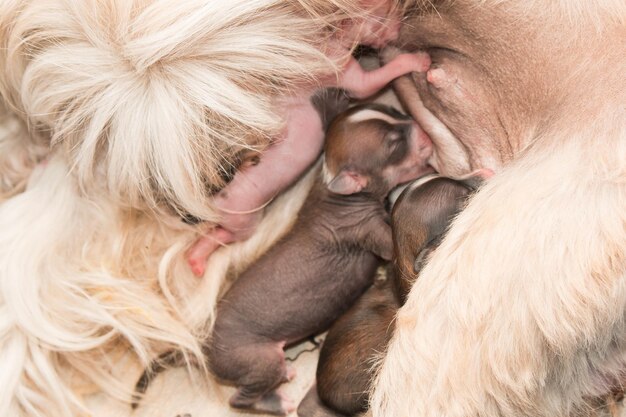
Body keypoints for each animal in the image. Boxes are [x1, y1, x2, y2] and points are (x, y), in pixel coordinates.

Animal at [185, 5, 428, 276]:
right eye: (380, 16)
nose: (402, 18)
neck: (316, 36)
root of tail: (205, 204)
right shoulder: (341, 67)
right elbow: (369, 84)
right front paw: (415, 60)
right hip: (243, 219)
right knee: (226, 234)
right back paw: (200, 254)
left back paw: (194, 256)